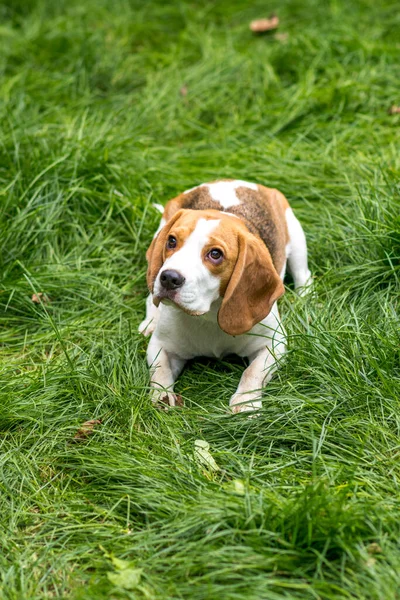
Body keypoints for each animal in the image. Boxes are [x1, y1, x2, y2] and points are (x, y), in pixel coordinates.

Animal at [139, 179, 310, 412]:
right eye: (172, 241)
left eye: (215, 254)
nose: (169, 278)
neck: (208, 317)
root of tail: (230, 181)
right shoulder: (161, 345)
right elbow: (160, 371)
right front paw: (162, 397)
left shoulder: (275, 343)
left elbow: (252, 372)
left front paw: (246, 403)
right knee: (150, 298)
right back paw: (150, 321)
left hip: (297, 238)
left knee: (304, 276)